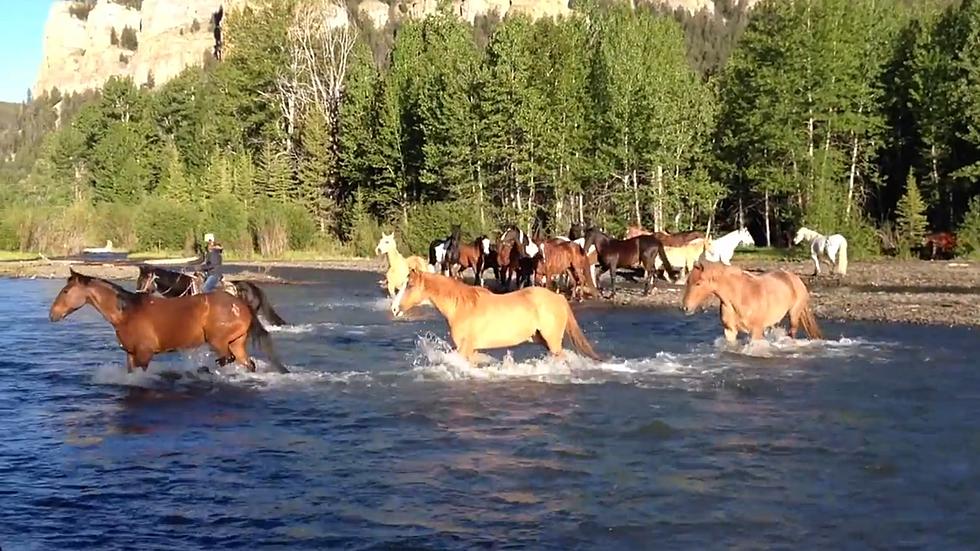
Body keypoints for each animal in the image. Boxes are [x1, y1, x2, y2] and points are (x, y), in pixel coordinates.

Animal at [390, 272, 596, 366]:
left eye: (409, 285)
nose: (394, 308)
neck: (462, 307)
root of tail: (559, 297)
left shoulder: (465, 348)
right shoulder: (471, 350)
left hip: (552, 341)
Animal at [684, 260, 824, 344]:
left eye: (698, 283)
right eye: (688, 281)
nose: (685, 307)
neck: (740, 296)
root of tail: (795, 278)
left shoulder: (756, 331)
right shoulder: (730, 330)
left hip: (794, 315)